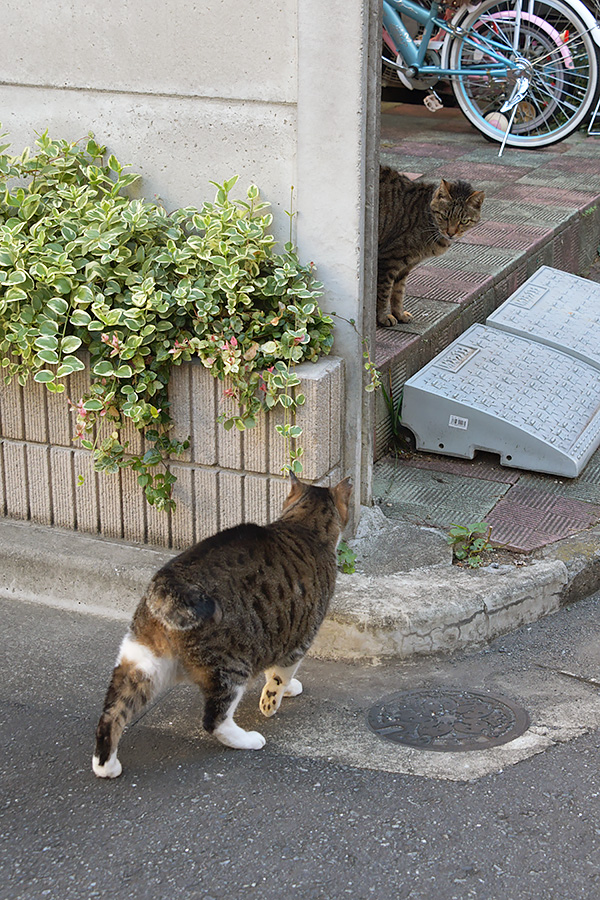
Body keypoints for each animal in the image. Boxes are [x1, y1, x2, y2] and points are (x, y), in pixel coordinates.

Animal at [93, 474, 352, 776]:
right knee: (214, 719)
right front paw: (272, 702)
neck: (303, 525)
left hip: (142, 661)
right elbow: (279, 676)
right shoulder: (300, 638)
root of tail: (168, 584)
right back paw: (248, 739)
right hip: (232, 665)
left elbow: (273, 670)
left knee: (112, 712)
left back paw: (106, 766)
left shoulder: (275, 635)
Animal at [378, 165, 486, 326]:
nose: (451, 233)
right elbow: (383, 292)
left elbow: (398, 293)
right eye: (445, 216)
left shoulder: (405, 266)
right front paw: (382, 317)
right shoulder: (388, 259)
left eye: (464, 221)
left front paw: (399, 314)